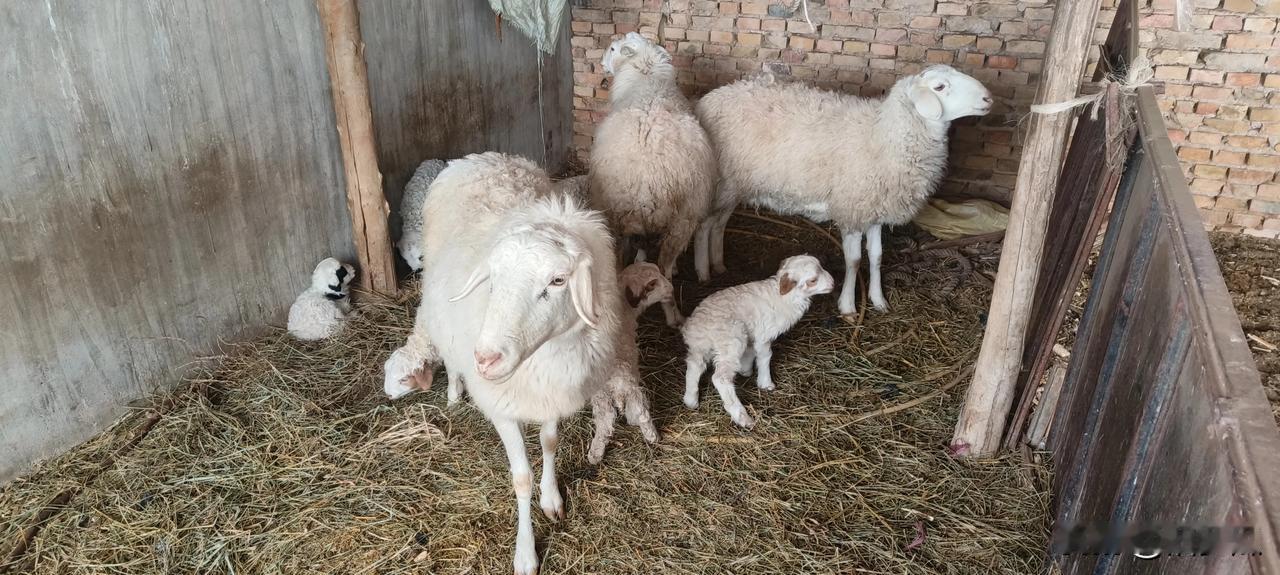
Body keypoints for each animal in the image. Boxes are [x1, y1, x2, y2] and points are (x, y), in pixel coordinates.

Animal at [378, 151, 619, 573]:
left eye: (558, 280)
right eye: (494, 277)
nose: (486, 359)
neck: (543, 357)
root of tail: (488, 158)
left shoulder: (549, 392)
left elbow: (550, 442)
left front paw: (552, 499)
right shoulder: (504, 406)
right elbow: (521, 478)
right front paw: (525, 552)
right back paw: (455, 391)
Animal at [586, 262, 675, 463]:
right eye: (652, 285)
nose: (671, 289)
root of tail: (614, 381)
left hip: (600, 395)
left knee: (605, 420)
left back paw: (595, 453)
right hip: (631, 388)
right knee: (641, 414)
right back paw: (652, 437)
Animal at [588, 32, 721, 281]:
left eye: (613, 49)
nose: (601, 63)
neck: (647, 76)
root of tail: (651, 181)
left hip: (618, 215)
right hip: (685, 216)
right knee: (667, 261)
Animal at [680, 254, 839, 425]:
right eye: (813, 280)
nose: (833, 283)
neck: (784, 298)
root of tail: (697, 325)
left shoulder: (753, 332)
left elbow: (750, 351)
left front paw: (746, 370)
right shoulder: (764, 334)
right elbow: (764, 356)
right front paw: (765, 383)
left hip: (700, 345)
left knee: (694, 366)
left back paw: (691, 400)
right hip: (732, 340)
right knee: (720, 378)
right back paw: (742, 417)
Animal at [696, 65, 993, 313]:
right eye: (940, 87)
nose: (988, 98)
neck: (882, 136)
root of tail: (709, 99)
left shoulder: (874, 210)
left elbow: (876, 256)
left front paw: (878, 300)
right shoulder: (852, 209)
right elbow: (854, 260)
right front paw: (848, 306)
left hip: (734, 185)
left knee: (718, 223)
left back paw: (718, 264)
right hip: (720, 183)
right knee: (704, 225)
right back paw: (702, 271)